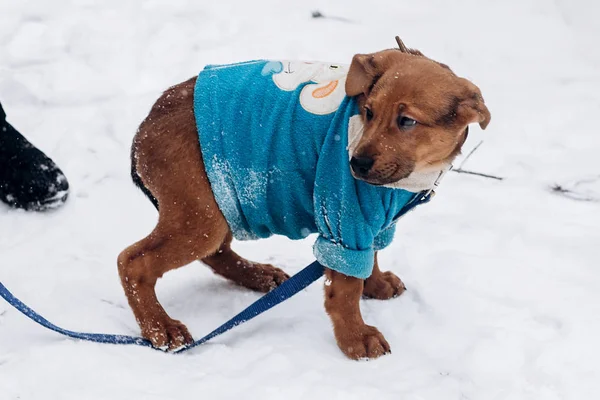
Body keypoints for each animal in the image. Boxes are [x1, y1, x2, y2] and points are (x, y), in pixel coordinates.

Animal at [117, 43, 488, 360]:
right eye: (368, 112)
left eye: (407, 121)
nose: (356, 164)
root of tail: (145, 128)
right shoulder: (345, 219)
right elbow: (345, 290)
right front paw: (356, 339)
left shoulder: (376, 220)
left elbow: (370, 257)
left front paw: (377, 284)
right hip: (201, 214)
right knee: (132, 262)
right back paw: (160, 327)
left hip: (220, 200)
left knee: (216, 252)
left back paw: (257, 275)